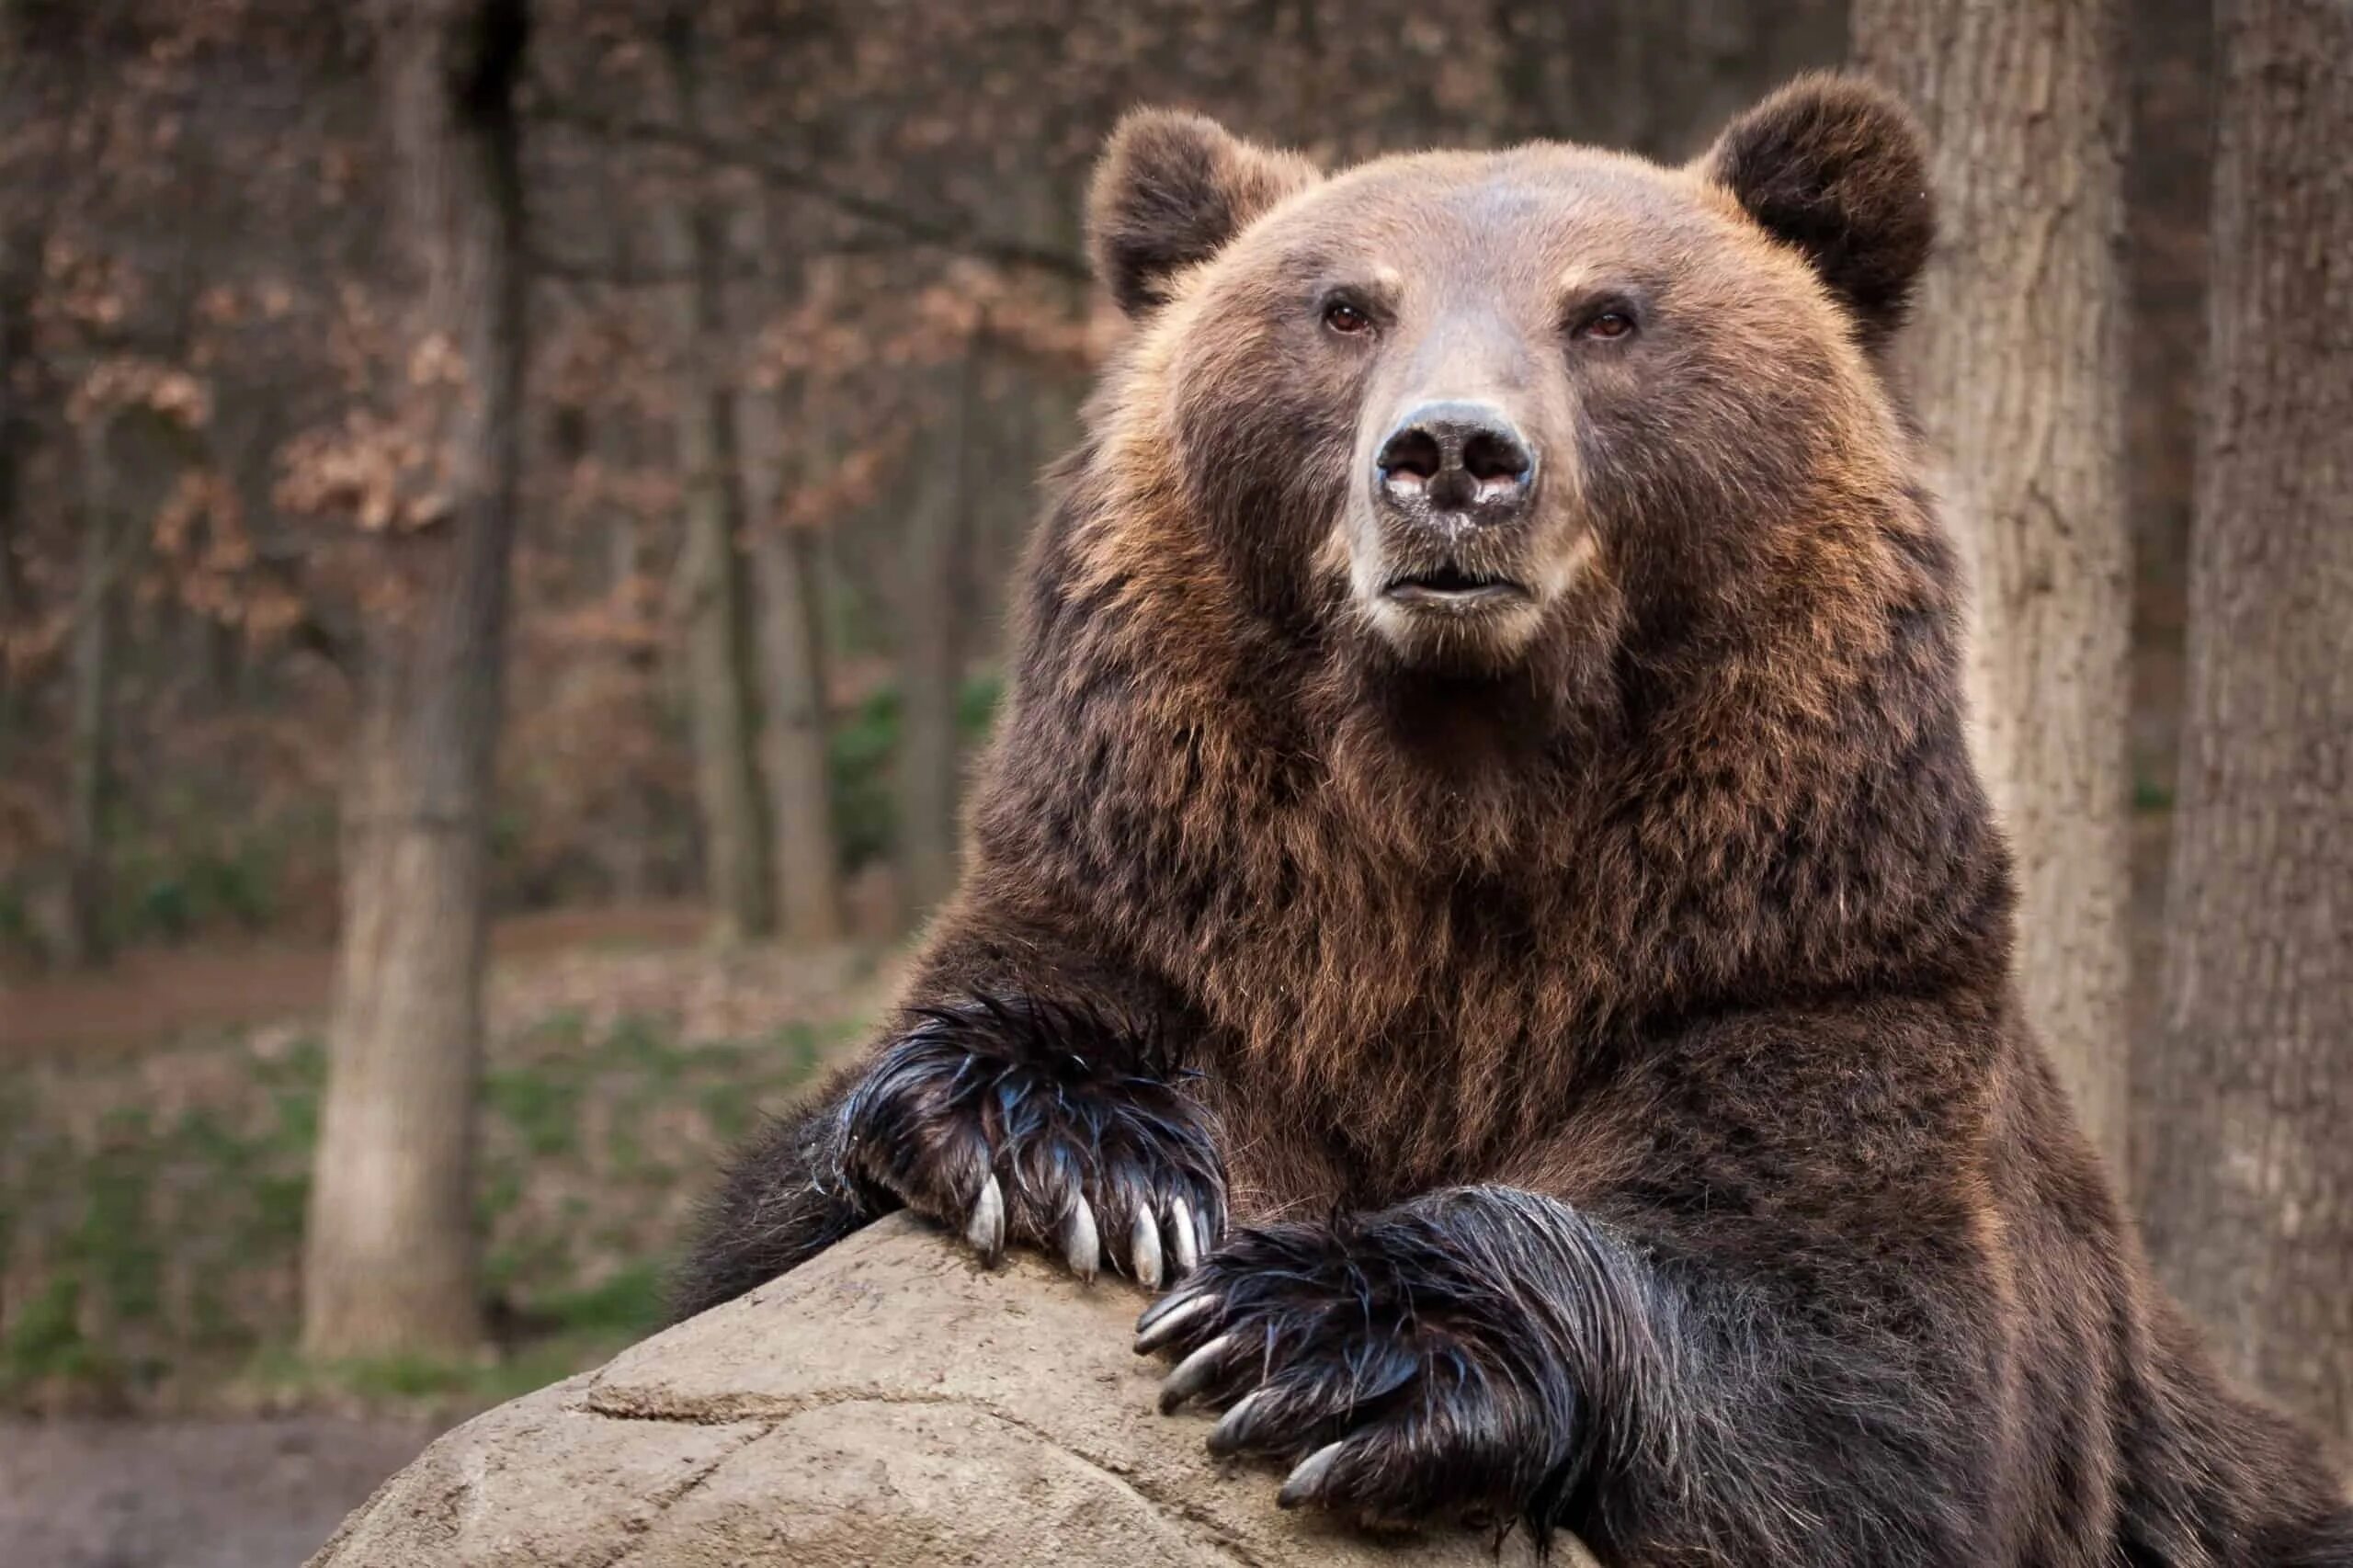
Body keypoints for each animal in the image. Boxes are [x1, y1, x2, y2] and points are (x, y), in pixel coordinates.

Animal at [677, 76, 2353, 1562]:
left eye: (1607, 313)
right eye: (1347, 306)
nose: (1453, 456)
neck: (1460, 803)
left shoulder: (1796, 952)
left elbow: (1855, 1369)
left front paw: (1328, 1332)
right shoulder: (1172, 891)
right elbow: (792, 1206)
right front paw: (1064, 1152)